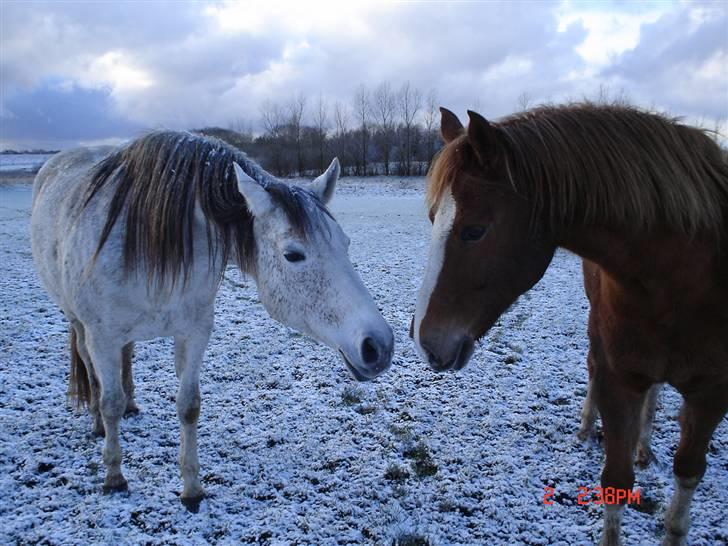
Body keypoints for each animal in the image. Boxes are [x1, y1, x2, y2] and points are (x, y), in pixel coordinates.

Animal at [29, 130, 392, 508]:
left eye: (345, 244)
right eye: (293, 255)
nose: (379, 346)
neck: (144, 242)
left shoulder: (193, 332)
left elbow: (188, 405)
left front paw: (192, 488)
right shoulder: (103, 336)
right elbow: (109, 401)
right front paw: (114, 476)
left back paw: (131, 405)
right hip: (78, 321)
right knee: (90, 368)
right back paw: (99, 424)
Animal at [412, 103, 728, 544]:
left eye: (474, 231)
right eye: (430, 219)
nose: (424, 340)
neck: (680, 277)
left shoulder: (712, 395)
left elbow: (684, 486)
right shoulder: (619, 380)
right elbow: (615, 481)